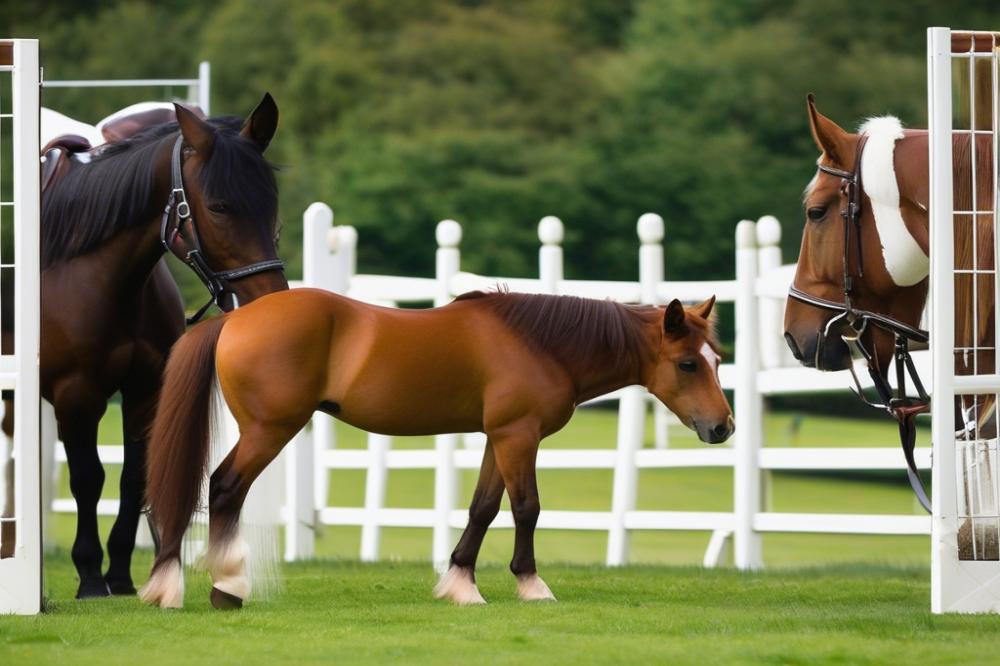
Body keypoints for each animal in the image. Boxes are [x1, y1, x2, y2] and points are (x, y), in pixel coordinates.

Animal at [0, 93, 290, 596]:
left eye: (270, 202)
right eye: (218, 206)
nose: (270, 299)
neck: (101, 276)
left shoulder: (144, 393)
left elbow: (134, 479)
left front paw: (119, 574)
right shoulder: (78, 396)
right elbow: (88, 478)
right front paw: (89, 574)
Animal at [141, 286, 736, 608]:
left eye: (718, 361)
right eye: (688, 364)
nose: (723, 428)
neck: (540, 343)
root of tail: (235, 318)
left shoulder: (499, 438)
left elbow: (483, 508)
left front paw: (461, 584)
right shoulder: (519, 437)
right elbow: (527, 508)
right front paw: (531, 584)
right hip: (269, 430)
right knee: (224, 487)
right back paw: (224, 585)